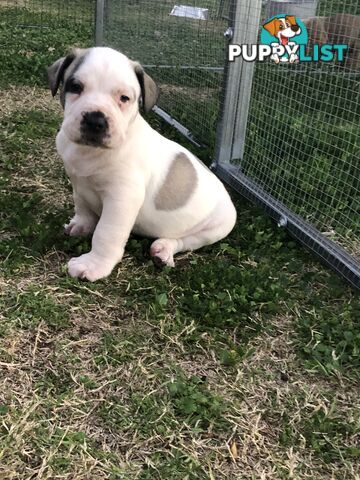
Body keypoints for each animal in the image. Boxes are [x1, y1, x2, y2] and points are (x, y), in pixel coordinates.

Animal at [47, 47, 236, 282]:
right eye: (75, 87)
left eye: (124, 98)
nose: (95, 119)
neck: (90, 151)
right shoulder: (78, 182)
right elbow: (82, 205)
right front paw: (81, 224)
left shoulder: (122, 199)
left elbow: (105, 233)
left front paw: (93, 265)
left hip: (217, 228)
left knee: (185, 240)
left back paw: (164, 250)